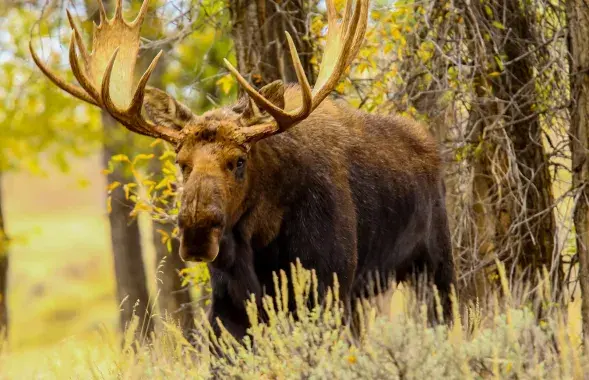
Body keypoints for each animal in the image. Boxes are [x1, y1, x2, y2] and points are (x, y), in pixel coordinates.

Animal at [29, 0, 458, 338]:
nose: (197, 232)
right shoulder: (227, 307)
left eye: (238, 161)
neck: (259, 243)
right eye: (181, 163)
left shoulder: (329, 284)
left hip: (434, 263)